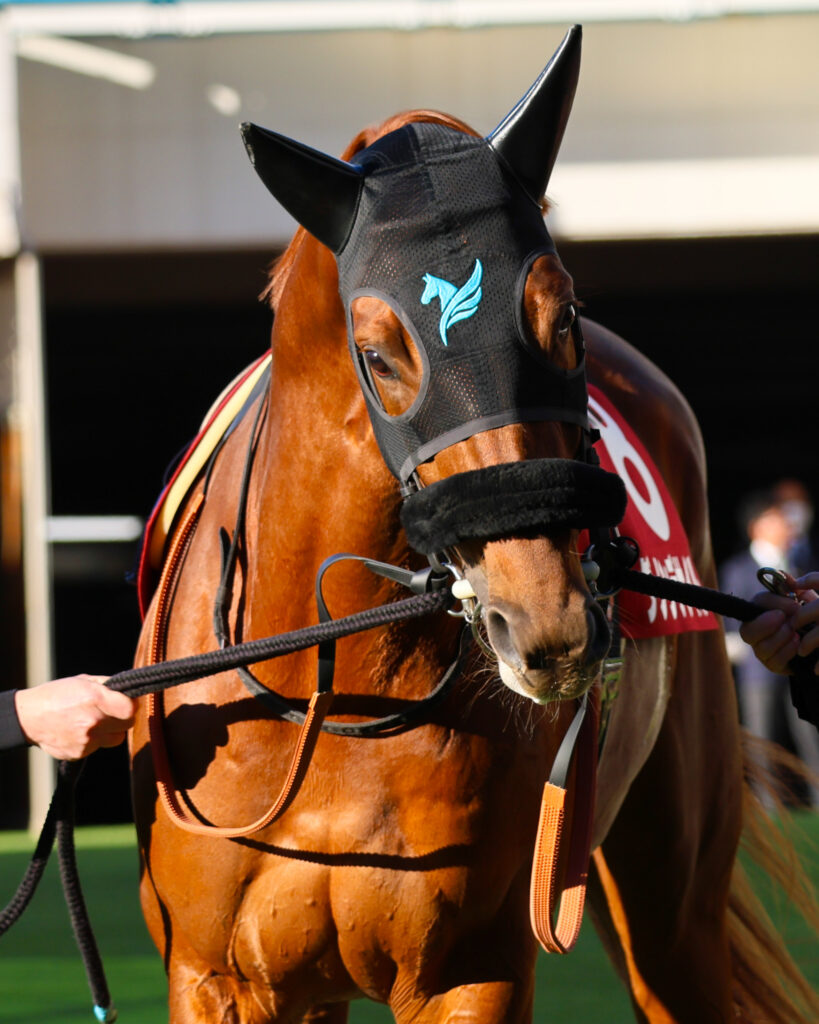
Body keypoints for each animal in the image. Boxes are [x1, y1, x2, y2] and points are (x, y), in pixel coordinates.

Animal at [130, 27, 818, 1024]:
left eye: (563, 318)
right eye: (379, 354)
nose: (547, 624)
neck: (333, 691)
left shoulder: (469, 969)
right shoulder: (220, 978)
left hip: (671, 904)